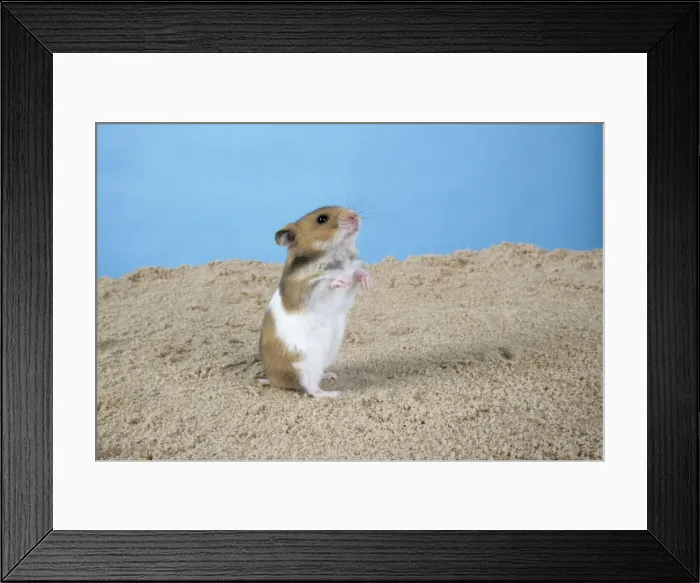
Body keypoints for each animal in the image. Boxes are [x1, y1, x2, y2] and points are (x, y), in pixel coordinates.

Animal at [258, 206, 371, 398]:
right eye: (322, 219)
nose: (354, 215)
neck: (338, 253)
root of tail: (274, 380)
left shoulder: (352, 275)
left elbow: (357, 272)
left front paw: (367, 282)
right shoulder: (307, 289)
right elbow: (326, 281)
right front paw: (340, 280)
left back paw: (330, 375)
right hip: (304, 368)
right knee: (311, 391)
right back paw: (334, 393)